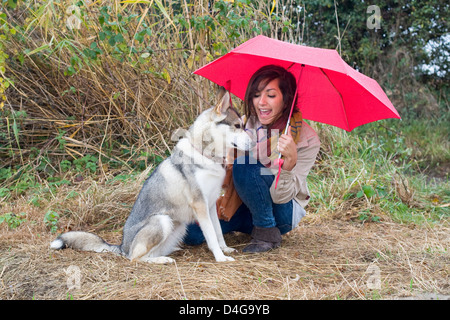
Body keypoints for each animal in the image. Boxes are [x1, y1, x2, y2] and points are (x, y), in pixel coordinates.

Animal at [51, 89, 255, 262]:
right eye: (237, 126)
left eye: (243, 125)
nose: (254, 144)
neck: (205, 154)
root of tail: (122, 247)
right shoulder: (200, 205)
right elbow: (211, 236)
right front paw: (220, 257)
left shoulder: (210, 204)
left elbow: (218, 231)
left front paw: (225, 249)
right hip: (162, 220)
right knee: (136, 258)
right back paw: (161, 260)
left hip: (178, 226)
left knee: (149, 253)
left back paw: (168, 253)